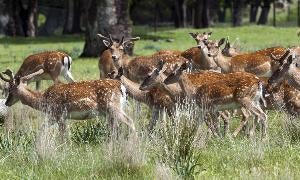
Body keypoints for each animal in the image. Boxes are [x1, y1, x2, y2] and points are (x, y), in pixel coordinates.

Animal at [0, 68, 135, 139]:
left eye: (10, 90)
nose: (6, 102)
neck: (43, 100)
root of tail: (121, 87)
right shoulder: (54, 116)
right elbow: (43, 129)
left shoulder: (59, 114)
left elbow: (62, 133)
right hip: (109, 111)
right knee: (114, 127)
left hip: (113, 106)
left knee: (129, 120)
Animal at [139, 60, 268, 138]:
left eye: (149, 75)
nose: (141, 86)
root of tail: (258, 81)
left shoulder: (202, 108)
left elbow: (208, 123)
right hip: (253, 101)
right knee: (257, 115)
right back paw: (250, 135)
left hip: (244, 100)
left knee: (254, 115)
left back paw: (257, 137)